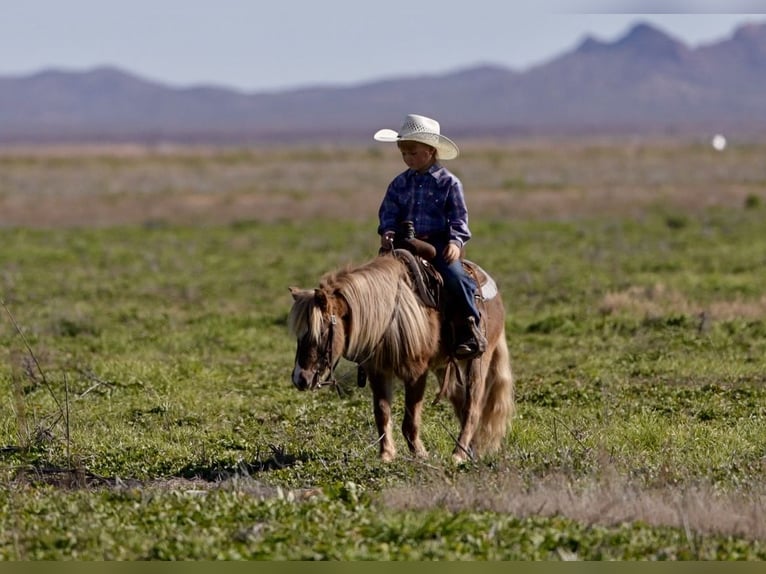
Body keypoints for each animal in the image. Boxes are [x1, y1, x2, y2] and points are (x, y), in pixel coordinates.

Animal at [287, 251, 514, 463]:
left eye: (321, 332)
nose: (300, 379)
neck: (390, 318)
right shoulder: (378, 372)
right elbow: (382, 413)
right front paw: (386, 454)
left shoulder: (416, 373)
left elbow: (410, 420)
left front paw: (420, 453)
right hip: (444, 367)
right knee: (459, 400)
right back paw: (470, 450)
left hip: (479, 360)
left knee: (472, 407)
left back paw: (458, 455)